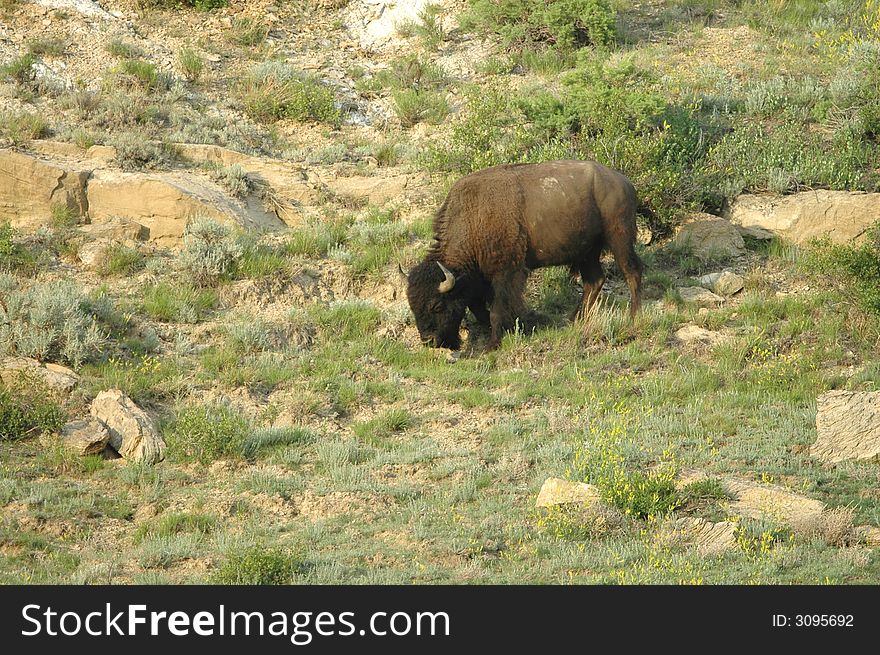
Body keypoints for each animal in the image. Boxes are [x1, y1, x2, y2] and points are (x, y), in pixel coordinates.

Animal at [402, 161, 644, 352]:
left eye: (437, 306)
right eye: (412, 306)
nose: (429, 341)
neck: (473, 217)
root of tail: (624, 182)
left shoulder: (506, 274)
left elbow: (496, 310)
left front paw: (493, 344)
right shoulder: (478, 282)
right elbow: (480, 311)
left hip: (619, 239)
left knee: (631, 272)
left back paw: (633, 316)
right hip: (587, 252)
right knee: (594, 281)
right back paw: (573, 319)